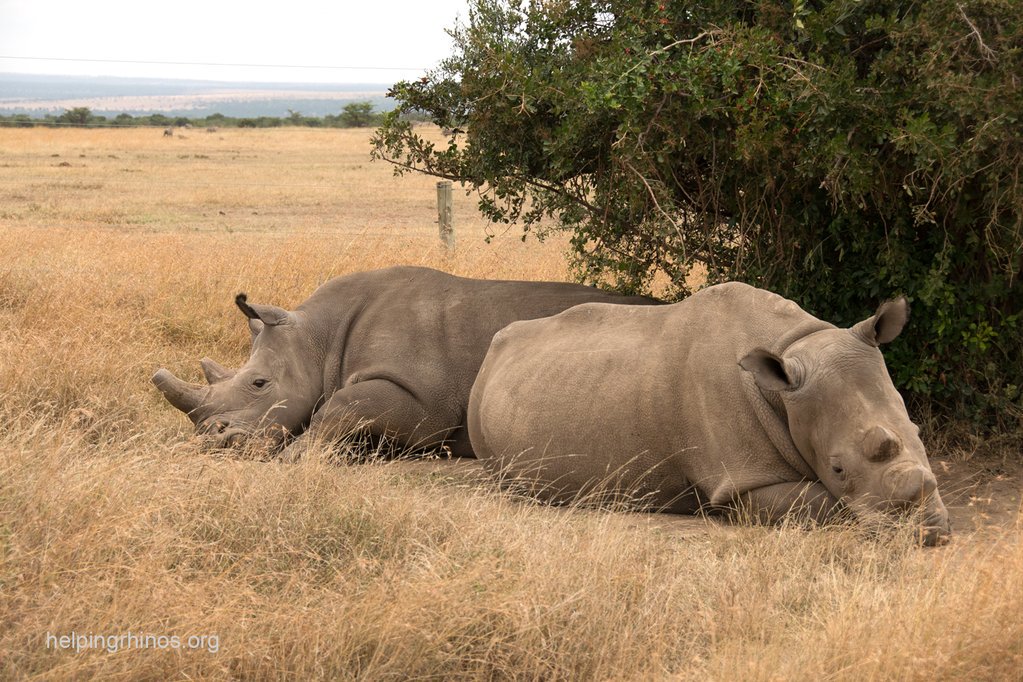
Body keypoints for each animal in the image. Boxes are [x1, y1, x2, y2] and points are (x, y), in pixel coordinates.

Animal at [152, 266, 656, 458]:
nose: (211, 439)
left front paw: (297, 453)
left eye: (258, 384)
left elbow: (341, 405)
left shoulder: (426, 404)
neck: (317, 339)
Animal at [468, 282, 951, 545]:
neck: (795, 350)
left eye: (918, 431)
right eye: (837, 468)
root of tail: (495, 345)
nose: (929, 532)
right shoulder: (739, 480)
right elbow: (822, 504)